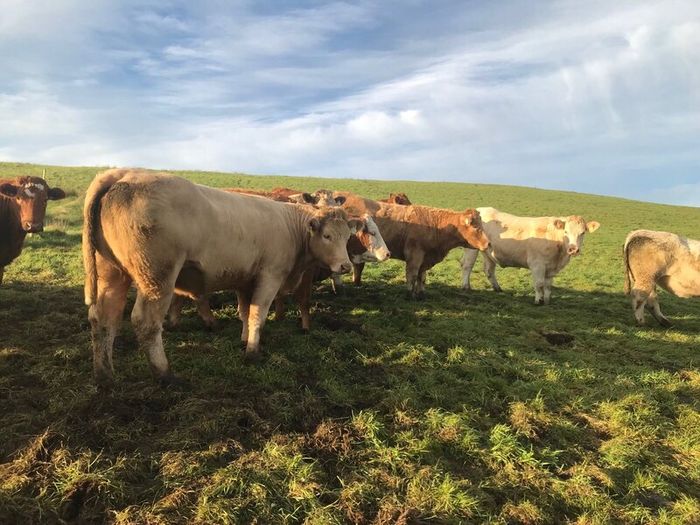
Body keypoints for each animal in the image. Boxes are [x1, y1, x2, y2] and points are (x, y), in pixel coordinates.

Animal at [83, 169, 363, 385]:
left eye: (347, 236)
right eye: (327, 235)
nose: (345, 266)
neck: (291, 226)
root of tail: (123, 173)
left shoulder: (245, 280)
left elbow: (245, 312)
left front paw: (244, 339)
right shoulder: (270, 276)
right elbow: (258, 314)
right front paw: (252, 352)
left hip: (112, 274)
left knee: (103, 319)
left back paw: (105, 376)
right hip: (157, 277)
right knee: (146, 322)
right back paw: (165, 375)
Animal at [334, 191, 490, 298]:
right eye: (475, 226)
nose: (488, 243)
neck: (436, 226)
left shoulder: (426, 259)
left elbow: (422, 277)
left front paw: (420, 293)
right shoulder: (415, 256)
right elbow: (413, 275)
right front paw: (410, 294)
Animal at [461, 207, 600, 304]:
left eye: (582, 233)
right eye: (565, 231)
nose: (573, 249)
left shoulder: (551, 268)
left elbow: (548, 285)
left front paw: (547, 301)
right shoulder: (537, 264)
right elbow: (539, 284)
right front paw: (539, 301)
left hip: (489, 253)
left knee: (489, 270)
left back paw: (498, 288)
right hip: (472, 249)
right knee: (467, 266)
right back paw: (466, 286)